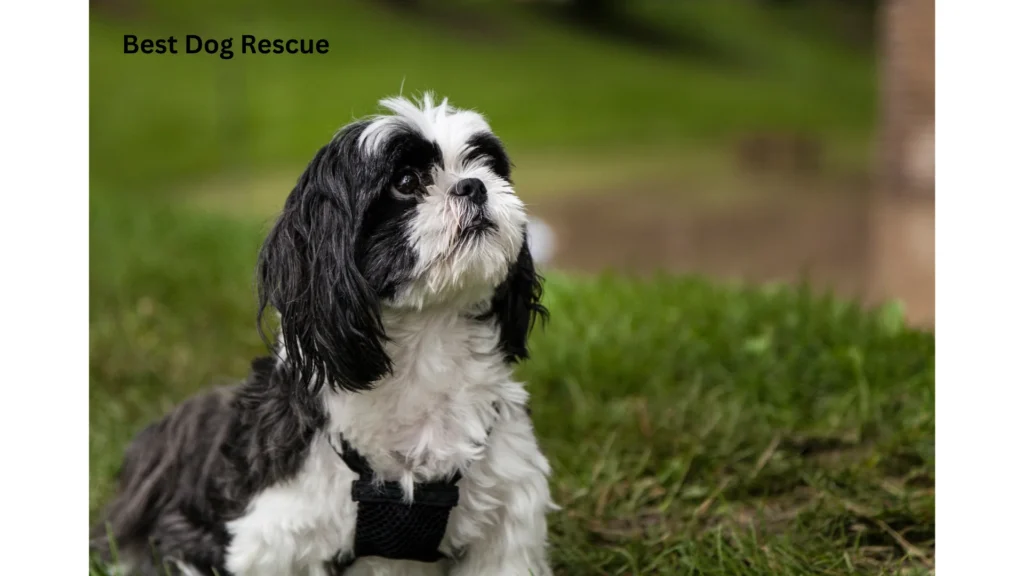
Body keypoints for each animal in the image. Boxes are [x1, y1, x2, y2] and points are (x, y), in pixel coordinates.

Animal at [92, 94, 557, 573]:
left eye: (484, 165)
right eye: (406, 181)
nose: (473, 186)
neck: (428, 342)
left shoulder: (508, 509)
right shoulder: (278, 531)